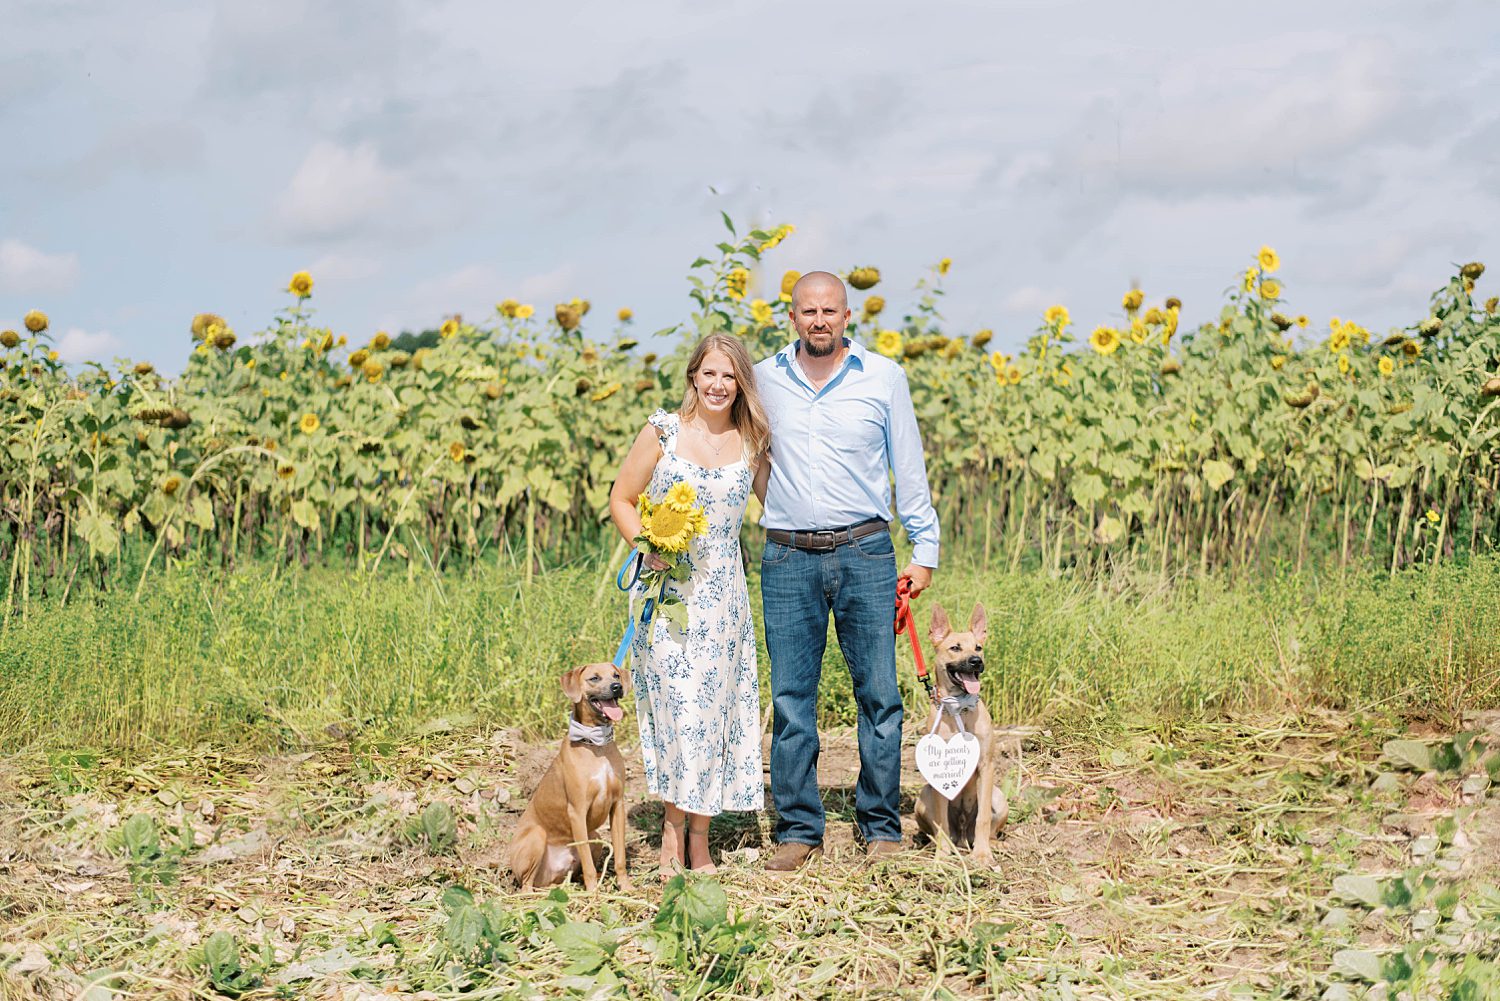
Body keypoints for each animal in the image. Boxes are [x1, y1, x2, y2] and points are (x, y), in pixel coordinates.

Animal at [507, 666, 630, 894]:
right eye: (594, 678)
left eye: (616, 675)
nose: (617, 687)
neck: (595, 745)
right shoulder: (577, 811)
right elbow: (588, 865)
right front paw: (593, 894)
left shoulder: (617, 807)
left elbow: (620, 857)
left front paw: (625, 887)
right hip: (537, 836)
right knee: (526, 884)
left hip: (595, 837)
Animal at [912, 603, 1008, 870]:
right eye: (955, 648)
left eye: (978, 647)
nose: (976, 662)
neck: (960, 709)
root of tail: (964, 834)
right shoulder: (939, 778)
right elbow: (942, 822)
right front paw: (942, 857)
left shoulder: (986, 765)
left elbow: (983, 818)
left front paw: (983, 855)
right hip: (924, 796)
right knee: (937, 830)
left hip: (999, 796)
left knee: (987, 828)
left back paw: (990, 845)